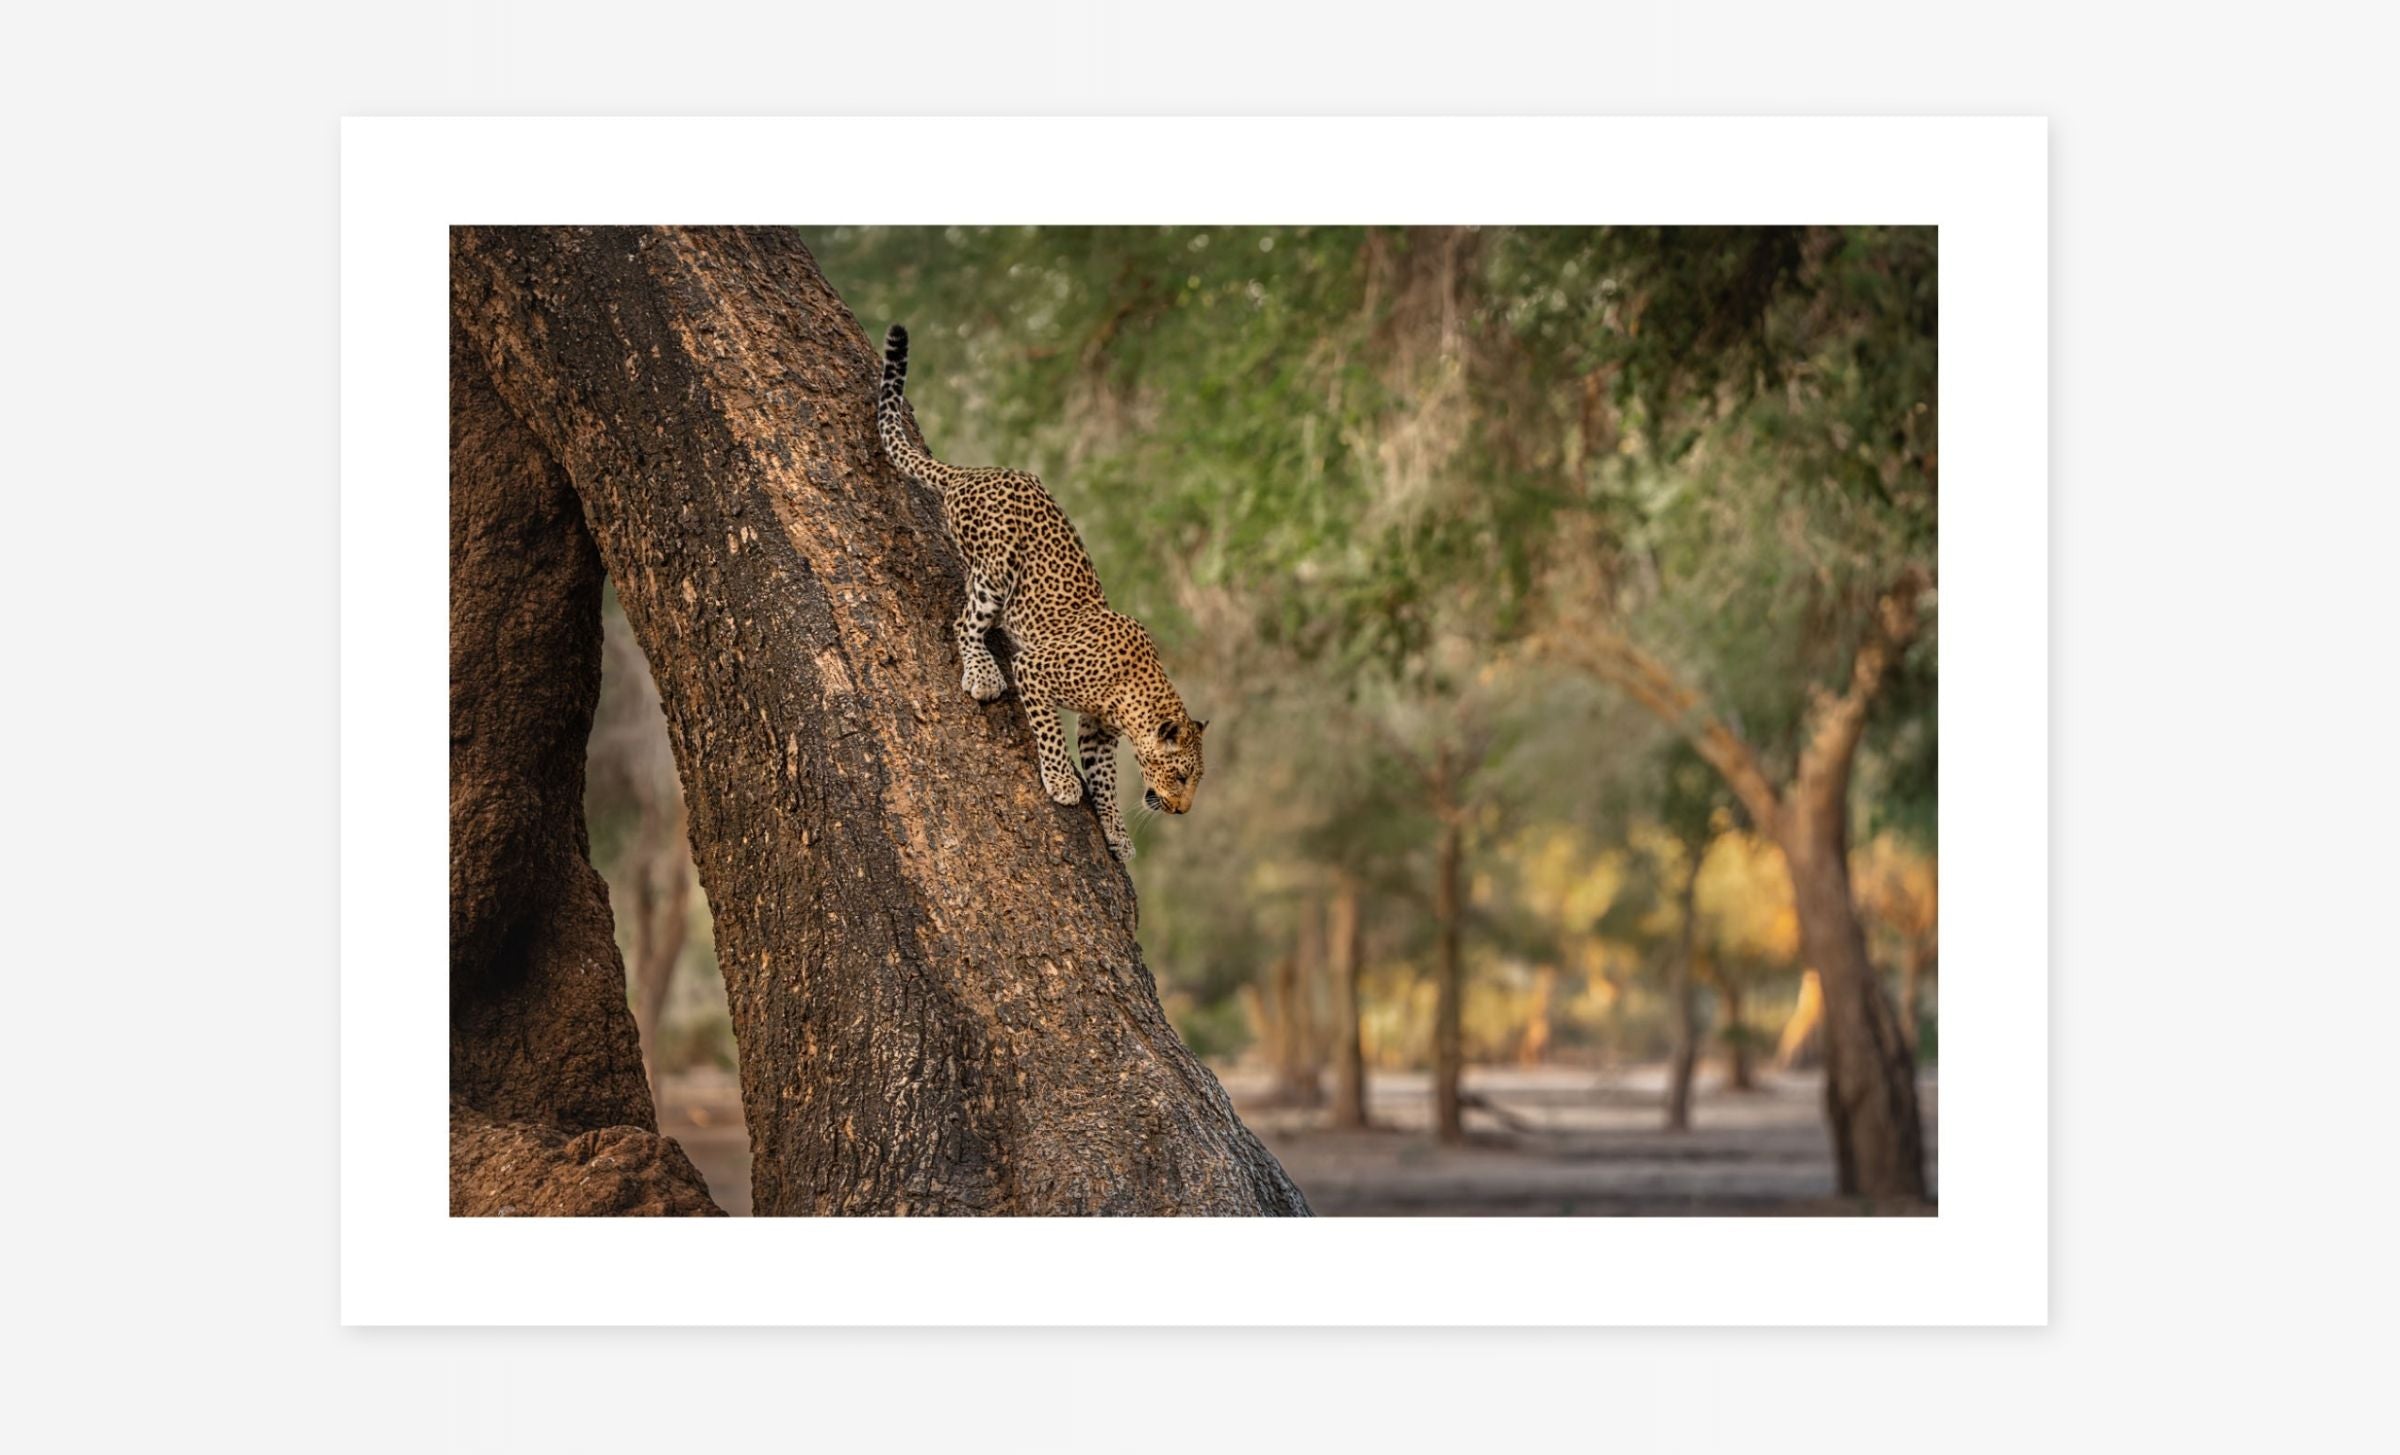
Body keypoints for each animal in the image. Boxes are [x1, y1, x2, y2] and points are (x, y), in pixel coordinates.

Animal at [876, 323, 1206, 862]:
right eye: (1180, 775)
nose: (1182, 811)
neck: (1133, 695)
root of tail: (973, 473)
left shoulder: (1098, 730)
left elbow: (1107, 781)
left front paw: (1116, 833)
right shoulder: (1036, 669)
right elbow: (1049, 731)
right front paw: (1062, 782)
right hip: (996, 567)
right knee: (965, 622)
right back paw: (983, 674)